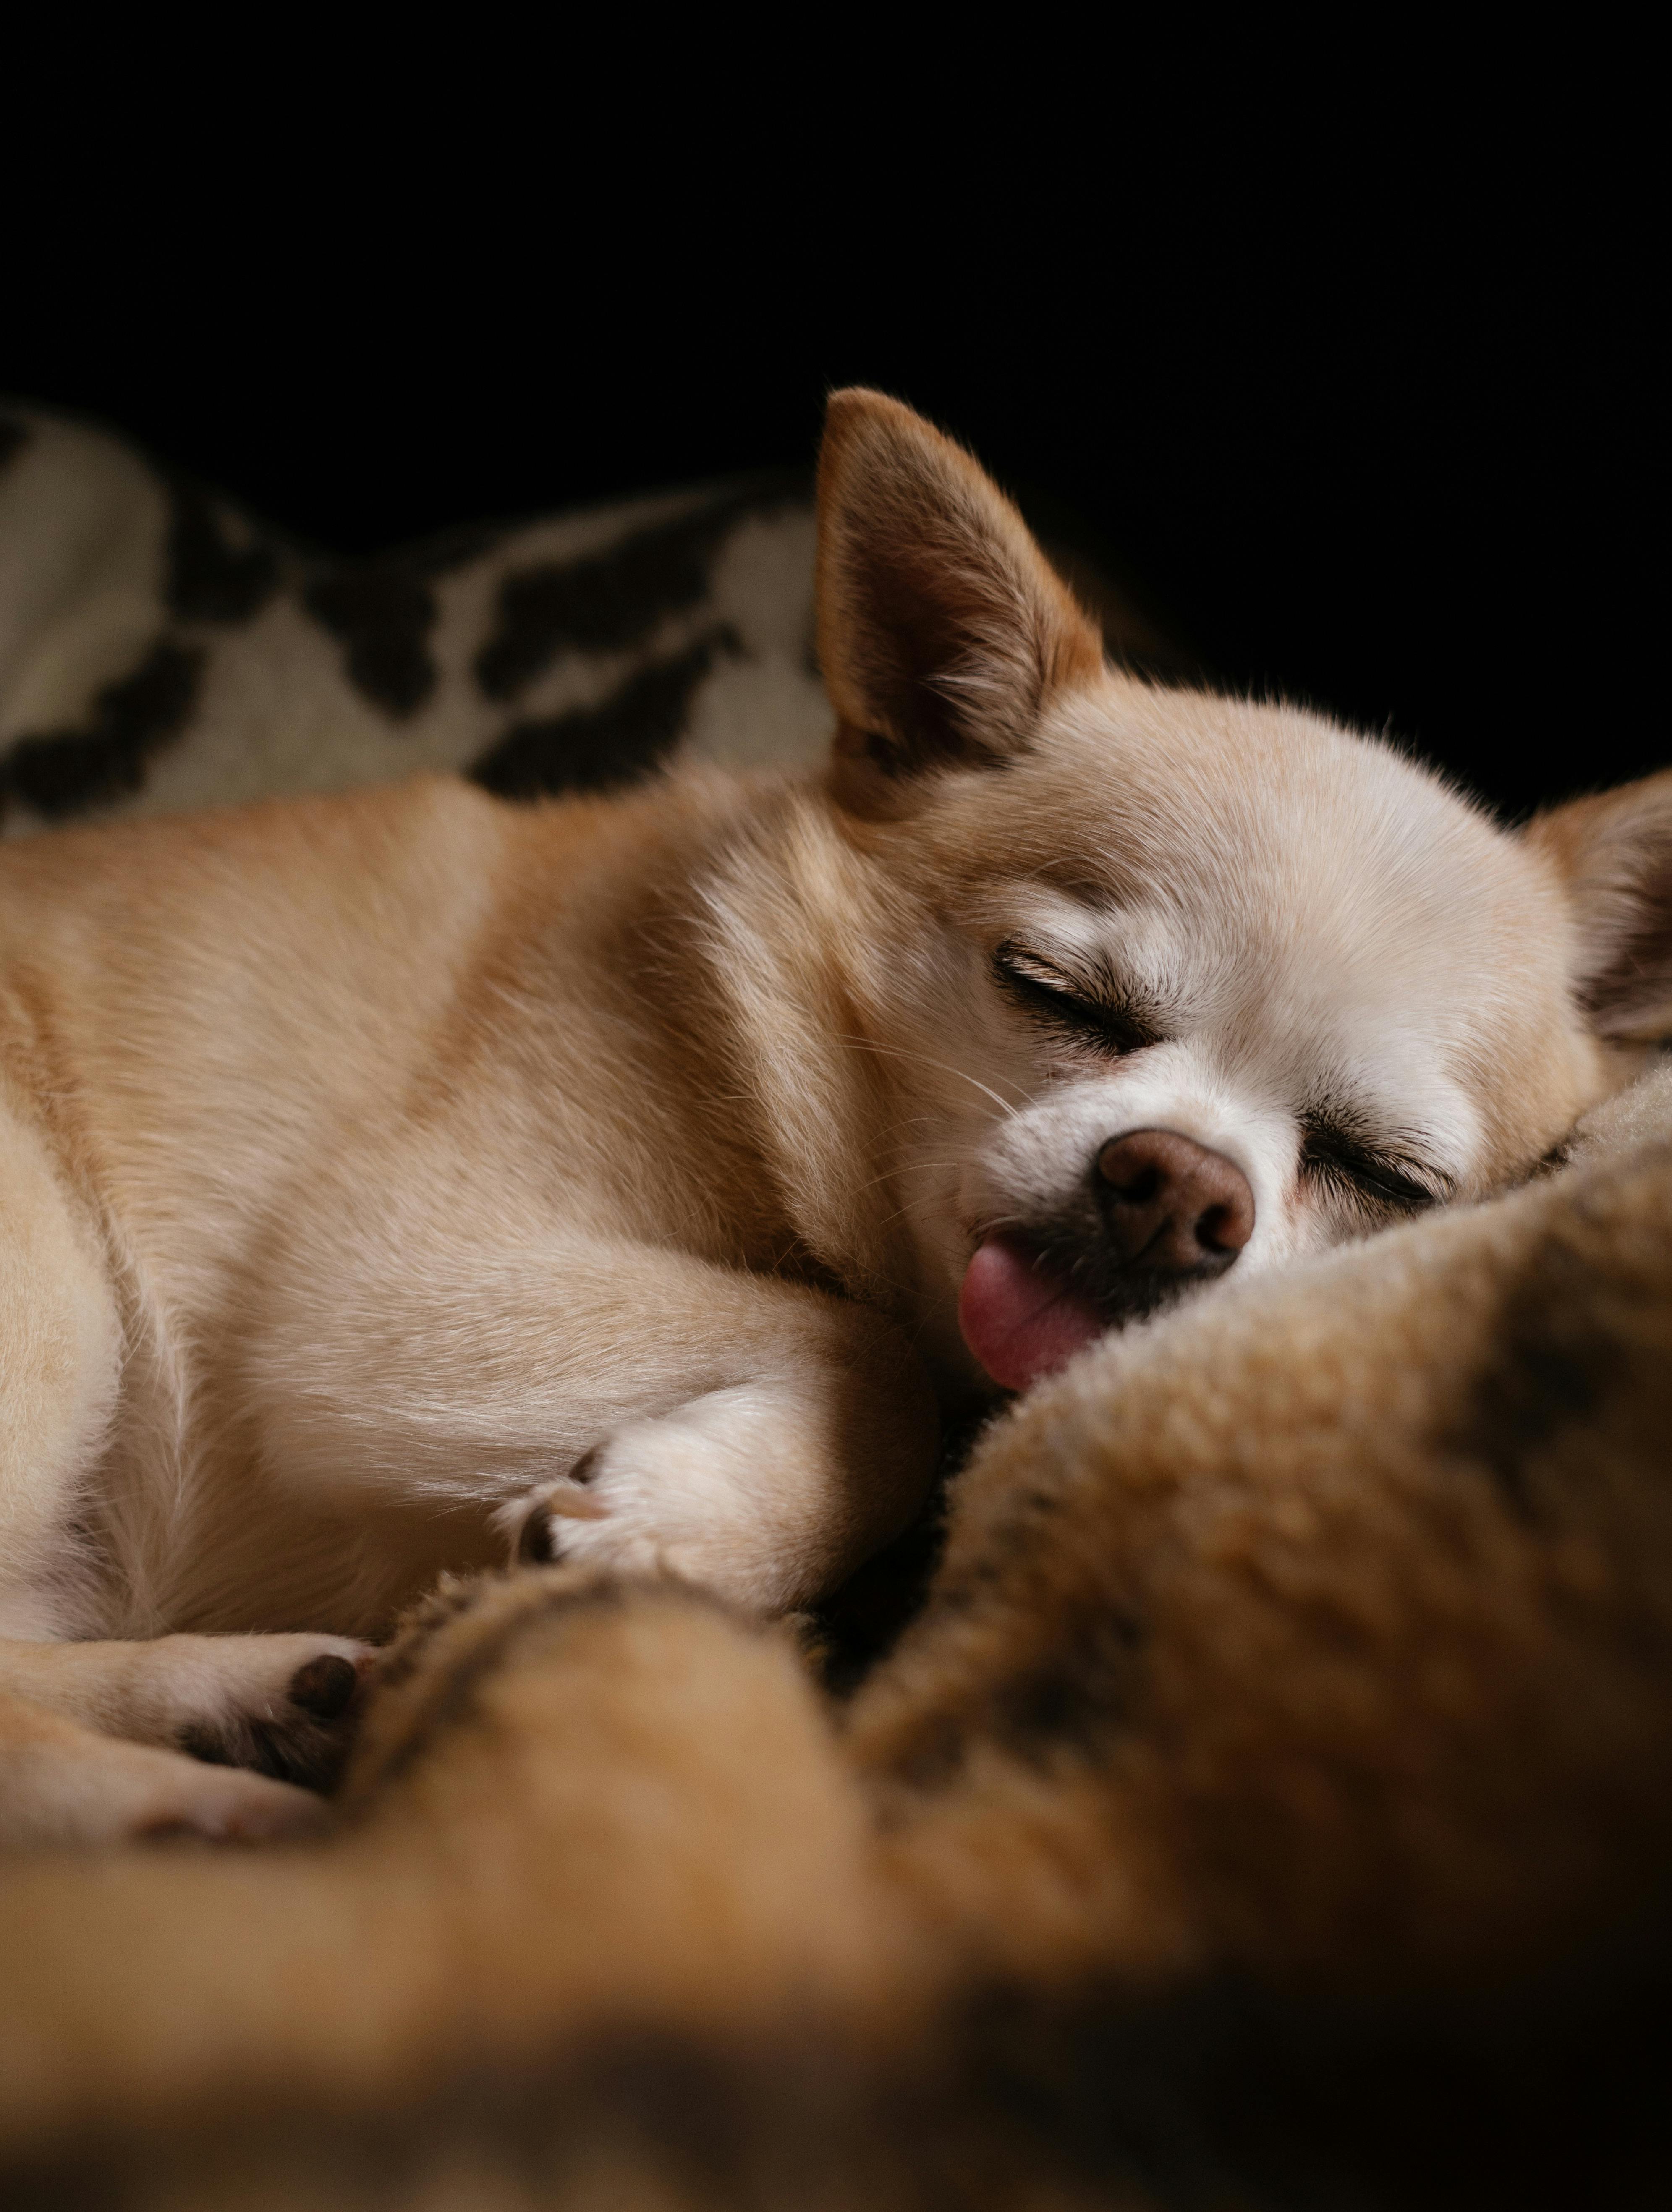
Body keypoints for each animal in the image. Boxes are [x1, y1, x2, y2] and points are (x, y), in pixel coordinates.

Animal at [3, 389, 1672, 1840]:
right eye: (1055, 994)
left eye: (1379, 1173)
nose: (1176, 1184)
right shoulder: (380, 1289)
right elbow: (873, 1355)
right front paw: (686, 1528)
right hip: (58, 1291)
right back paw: (197, 1812)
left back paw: (246, 1703)